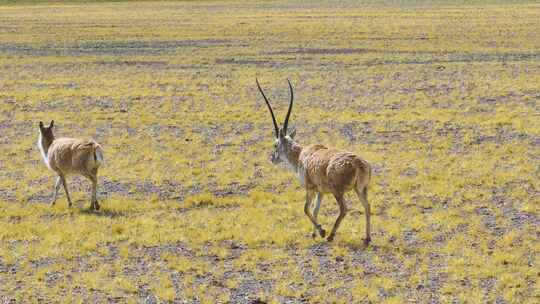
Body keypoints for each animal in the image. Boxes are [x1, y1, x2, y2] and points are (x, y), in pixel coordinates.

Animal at [256, 79, 374, 245]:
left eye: (275, 144)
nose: (272, 158)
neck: (300, 154)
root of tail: (359, 164)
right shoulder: (321, 191)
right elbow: (315, 209)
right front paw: (313, 234)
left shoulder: (310, 188)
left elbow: (306, 208)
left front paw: (321, 231)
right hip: (361, 189)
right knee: (367, 206)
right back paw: (367, 238)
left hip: (338, 191)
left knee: (344, 209)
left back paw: (331, 235)